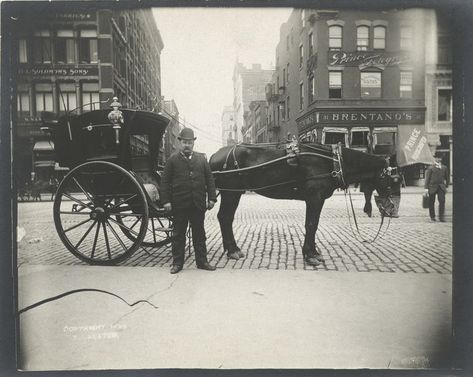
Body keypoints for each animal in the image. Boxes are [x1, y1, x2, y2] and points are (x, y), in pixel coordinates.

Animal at [208, 140, 400, 266]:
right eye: (394, 179)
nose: (393, 212)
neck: (331, 160)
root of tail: (215, 155)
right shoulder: (314, 198)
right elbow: (311, 224)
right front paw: (311, 254)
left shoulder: (315, 199)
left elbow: (312, 225)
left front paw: (311, 252)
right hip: (231, 193)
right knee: (225, 217)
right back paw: (232, 250)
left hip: (233, 193)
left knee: (225, 218)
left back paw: (232, 249)